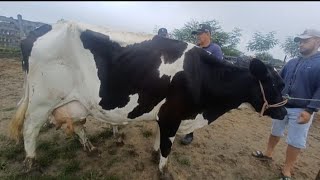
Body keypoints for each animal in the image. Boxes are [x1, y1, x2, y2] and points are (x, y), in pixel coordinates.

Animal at [8, 20, 288, 178]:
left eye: (283, 82)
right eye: (274, 84)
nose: (285, 112)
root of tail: (39, 30)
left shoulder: (166, 115)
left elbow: (158, 139)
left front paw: (154, 157)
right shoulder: (174, 115)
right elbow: (166, 146)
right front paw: (164, 171)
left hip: (74, 101)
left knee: (77, 125)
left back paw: (90, 148)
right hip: (41, 100)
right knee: (30, 129)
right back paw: (31, 163)